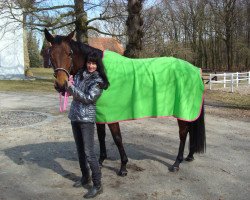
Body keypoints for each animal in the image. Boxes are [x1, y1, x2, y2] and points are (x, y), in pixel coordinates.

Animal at [44, 28, 205, 177]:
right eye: (50, 54)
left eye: (69, 53)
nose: (61, 85)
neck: (102, 72)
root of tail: (195, 69)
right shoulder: (100, 113)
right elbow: (101, 136)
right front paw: (101, 161)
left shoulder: (111, 114)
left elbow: (117, 138)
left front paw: (123, 167)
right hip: (188, 110)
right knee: (189, 130)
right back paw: (189, 156)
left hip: (182, 110)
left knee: (183, 134)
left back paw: (176, 163)